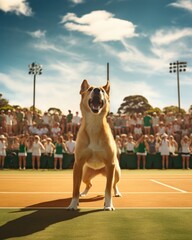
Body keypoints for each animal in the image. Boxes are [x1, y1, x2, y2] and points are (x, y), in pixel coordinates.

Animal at [68, 79, 121, 210]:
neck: (94, 124)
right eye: (90, 89)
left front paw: (108, 205)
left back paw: (116, 193)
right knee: (89, 184)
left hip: (116, 173)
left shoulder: (110, 164)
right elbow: (75, 189)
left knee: (114, 185)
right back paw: (83, 193)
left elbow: (108, 190)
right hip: (85, 174)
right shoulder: (78, 165)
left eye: (102, 90)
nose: (97, 90)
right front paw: (73, 204)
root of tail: (99, 171)